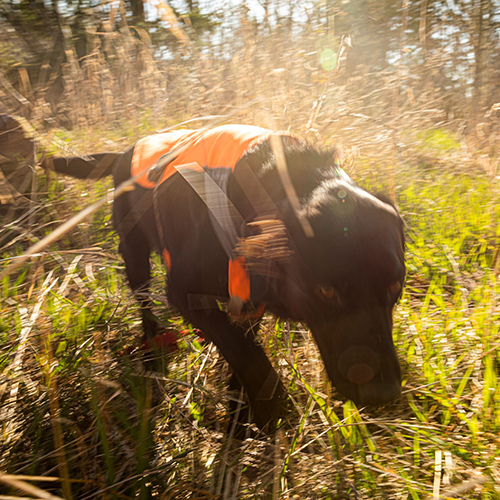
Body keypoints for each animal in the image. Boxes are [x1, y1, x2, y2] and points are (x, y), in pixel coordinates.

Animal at [0, 119, 406, 428]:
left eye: (394, 286)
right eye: (326, 291)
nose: (382, 395)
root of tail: (125, 152)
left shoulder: (251, 292)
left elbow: (244, 345)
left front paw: (242, 404)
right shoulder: (183, 292)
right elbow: (247, 354)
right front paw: (270, 408)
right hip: (134, 251)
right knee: (143, 299)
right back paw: (154, 346)